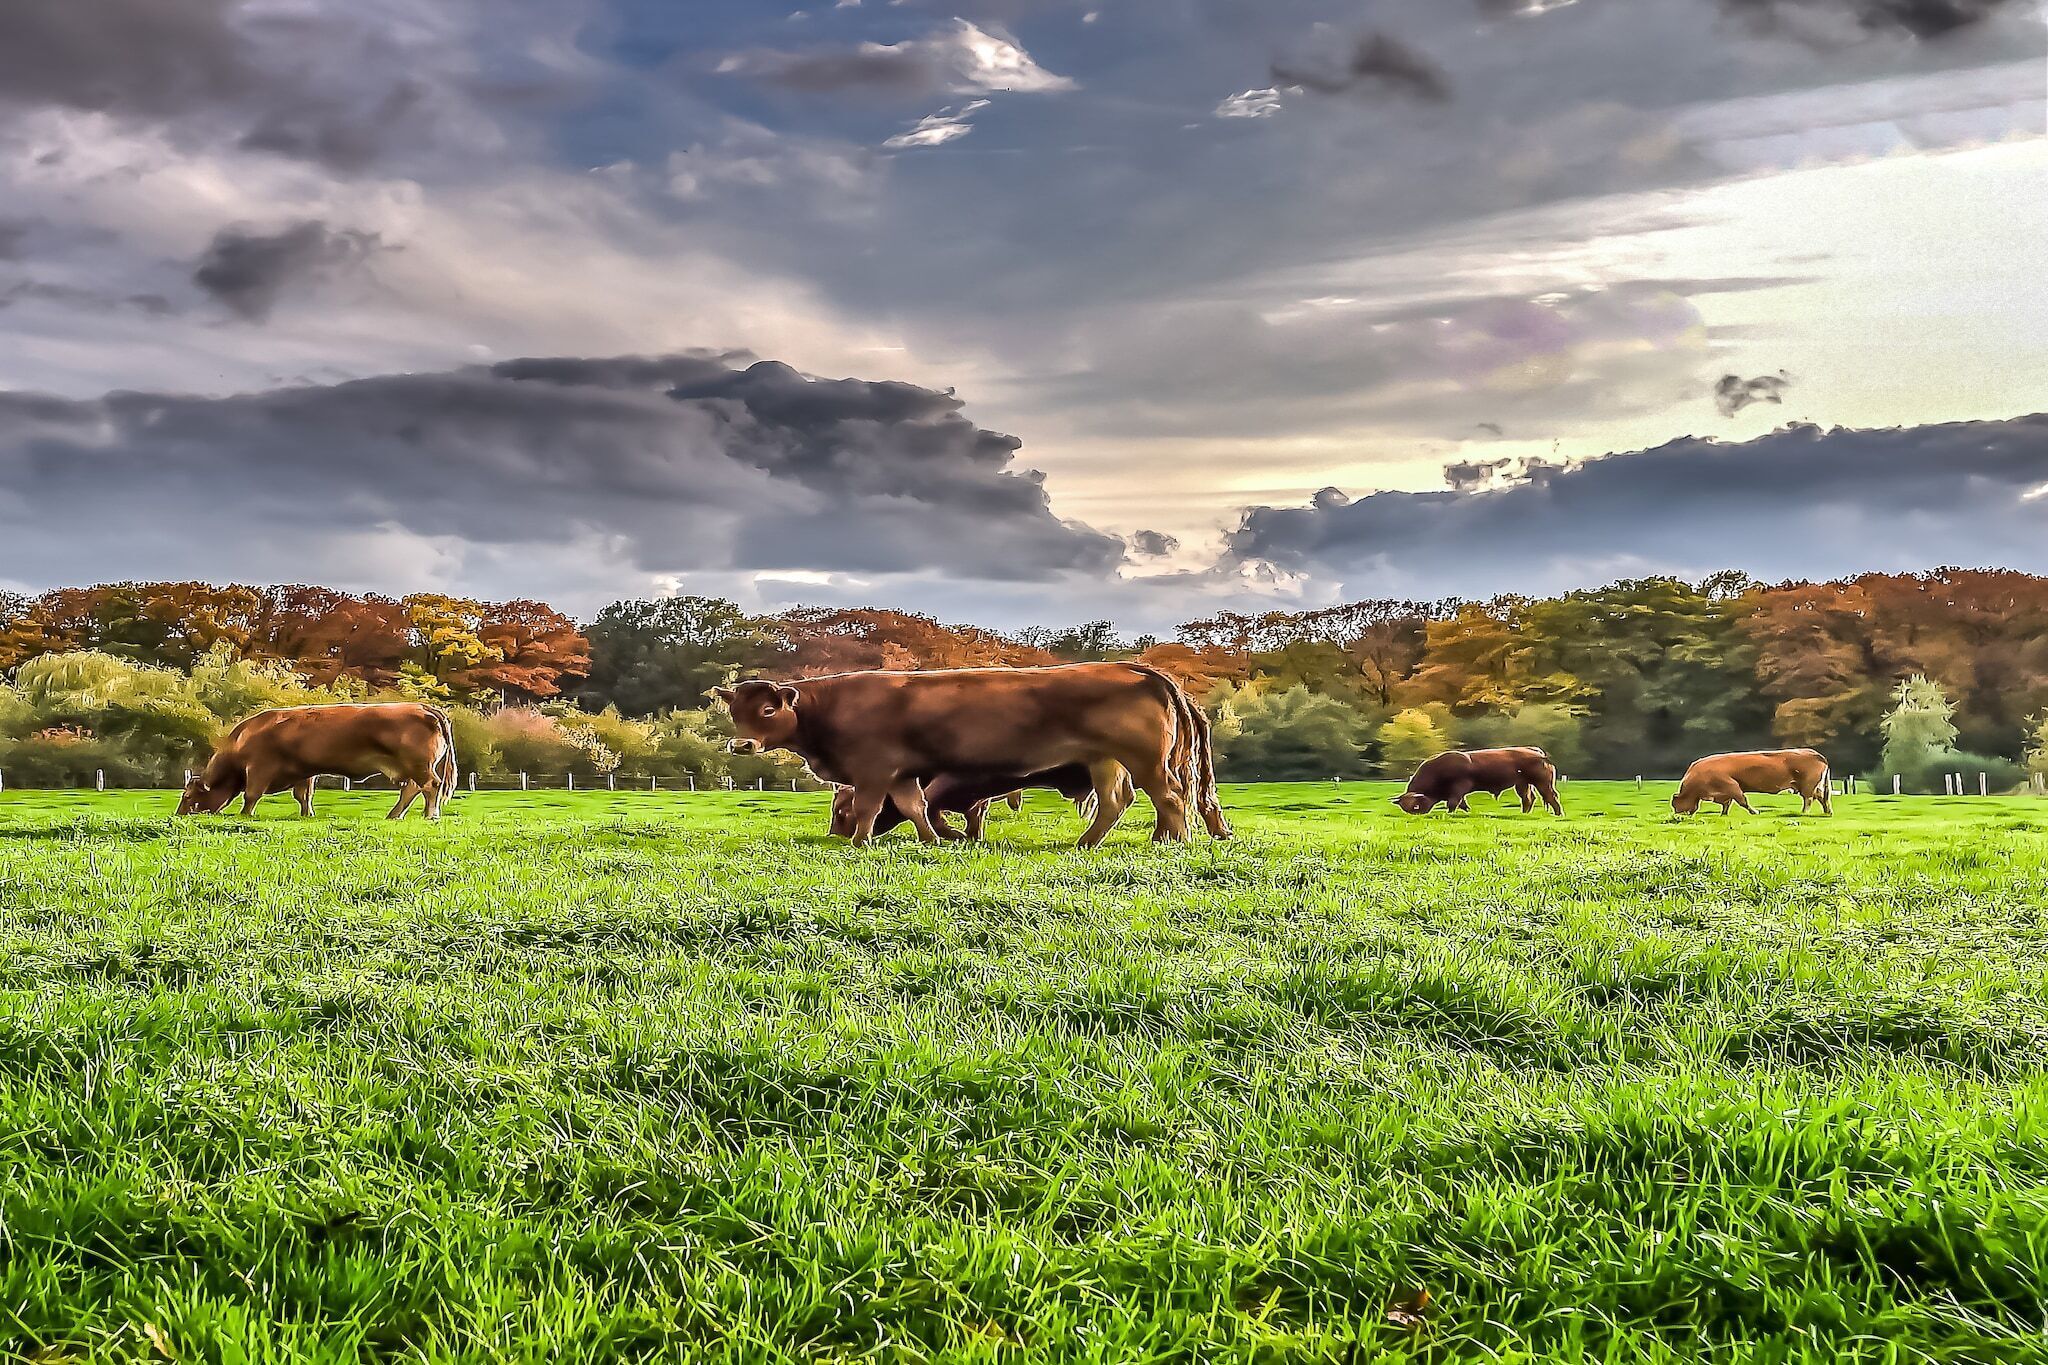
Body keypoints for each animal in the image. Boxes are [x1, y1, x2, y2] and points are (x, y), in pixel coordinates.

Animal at [178, 703, 457, 820]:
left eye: (188, 797)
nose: (179, 815)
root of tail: (423, 706)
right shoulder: (305, 771)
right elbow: (304, 795)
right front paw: (307, 814)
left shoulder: (259, 767)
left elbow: (251, 794)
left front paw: (245, 815)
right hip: (413, 767)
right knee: (412, 789)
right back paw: (394, 815)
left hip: (419, 765)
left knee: (430, 786)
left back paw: (430, 815)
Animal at [829, 764, 1129, 842]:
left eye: (842, 810)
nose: (833, 834)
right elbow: (974, 816)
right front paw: (971, 836)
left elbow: (928, 808)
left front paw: (952, 835)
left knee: (1116, 801)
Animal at [1393, 747, 1562, 816]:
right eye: (1405, 809)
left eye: (1416, 806)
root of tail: (1537, 752)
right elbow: (1462, 804)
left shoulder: (1459, 787)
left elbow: (1453, 802)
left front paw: (1450, 814)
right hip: (1522, 784)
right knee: (1528, 799)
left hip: (1542, 783)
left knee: (1551, 796)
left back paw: (1558, 814)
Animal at [1672, 749, 1832, 816]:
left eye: (1675, 805)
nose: (1677, 815)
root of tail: (1815, 753)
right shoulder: (1724, 793)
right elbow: (1727, 803)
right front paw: (1723, 814)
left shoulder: (1731, 786)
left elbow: (1742, 800)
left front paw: (1755, 811)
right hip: (1813, 785)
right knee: (1822, 797)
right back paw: (1827, 812)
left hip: (1807, 784)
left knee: (1808, 799)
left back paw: (1804, 812)